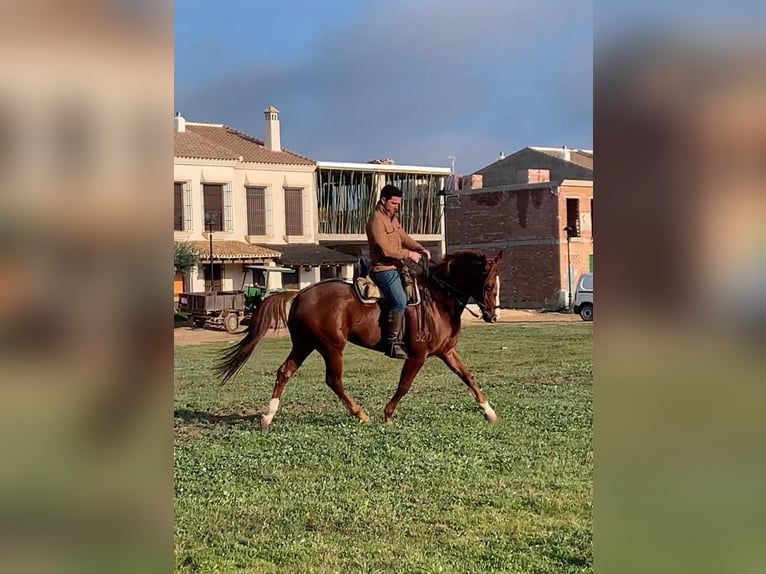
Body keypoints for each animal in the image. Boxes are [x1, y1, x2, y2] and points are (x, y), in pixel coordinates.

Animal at [216, 252, 504, 428]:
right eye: (489, 286)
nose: (493, 316)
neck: (437, 300)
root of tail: (300, 294)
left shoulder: (446, 351)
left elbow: (468, 377)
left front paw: (489, 411)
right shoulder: (417, 356)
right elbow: (404, 386)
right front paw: (387, 415)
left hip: (304, 345)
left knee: (285, 372)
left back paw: (268, 417)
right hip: (331, 347)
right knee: (333, 380)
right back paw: (360, 413)